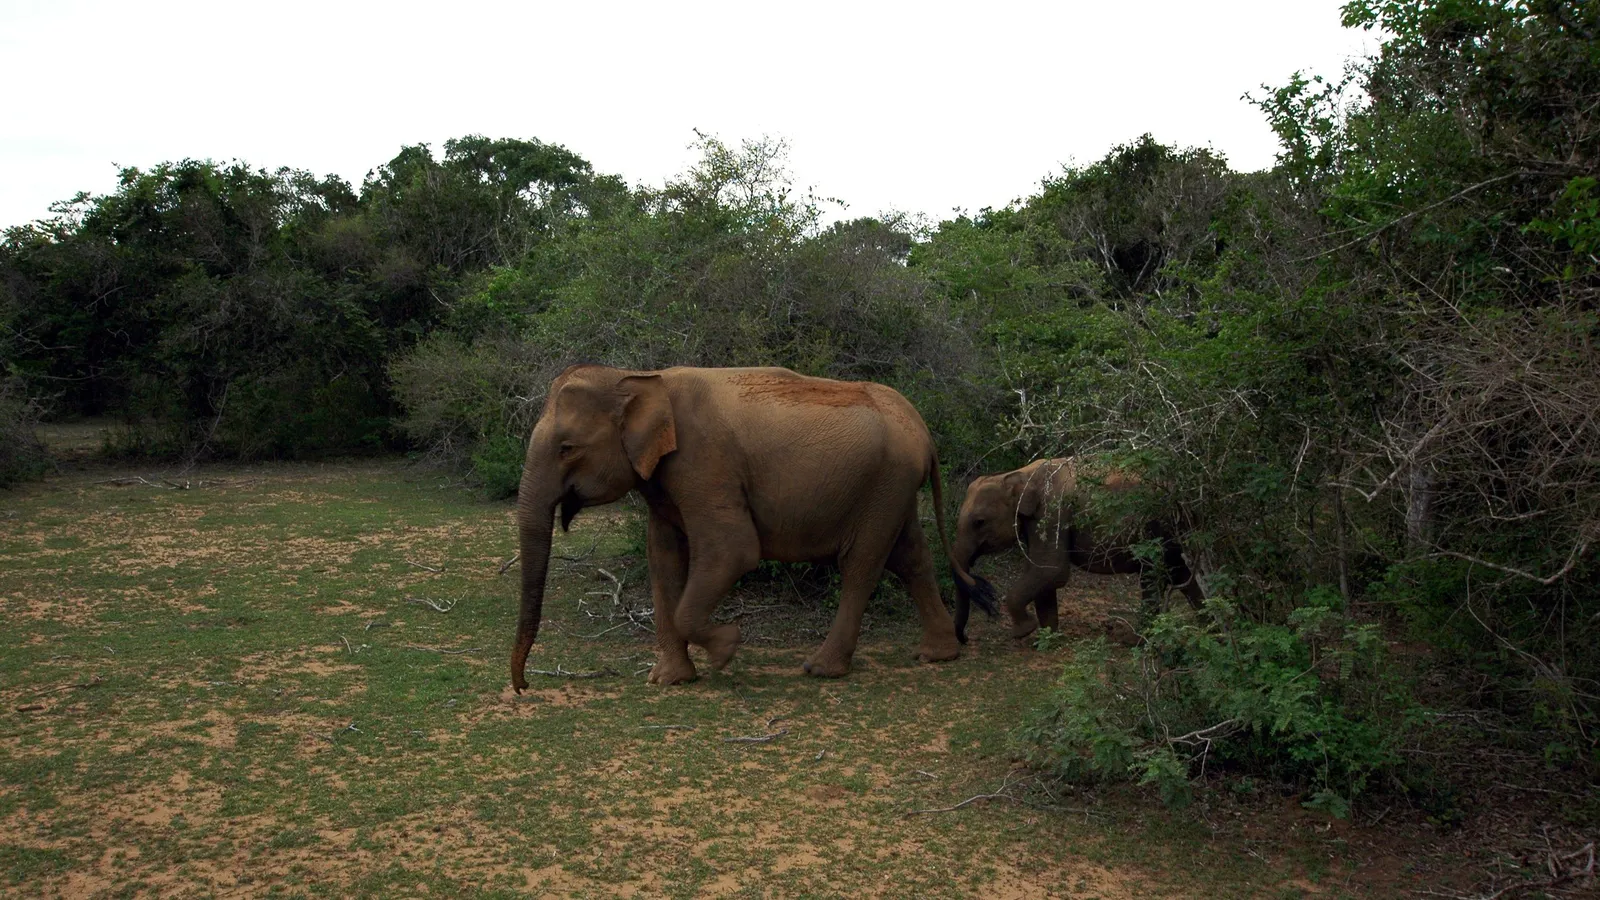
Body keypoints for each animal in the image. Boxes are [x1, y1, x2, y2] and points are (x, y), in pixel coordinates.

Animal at [509, 364, 995, 690]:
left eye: (567, 448)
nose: (524, 686)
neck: (639, 378)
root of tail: (923, 429)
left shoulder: (703, 462)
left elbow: (734, 550)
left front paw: (727, 648)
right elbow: (663, 560)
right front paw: (669, 680)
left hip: (884, 484)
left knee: (862, 565)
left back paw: (820, 669)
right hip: (894, 489)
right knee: (910, 558)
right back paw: (937, 655)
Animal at [951, 457, 1203, 643]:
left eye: (979, 522)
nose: (966, 639)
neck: (1018, 473)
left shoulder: (1052, 512)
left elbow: (1052, 571)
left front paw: (1024, 631)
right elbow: (1042, 573)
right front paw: (1047, 639)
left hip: (1155, 525)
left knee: (1153, 575)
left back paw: (1133, 640)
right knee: (1182, 574)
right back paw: (1208, 625)